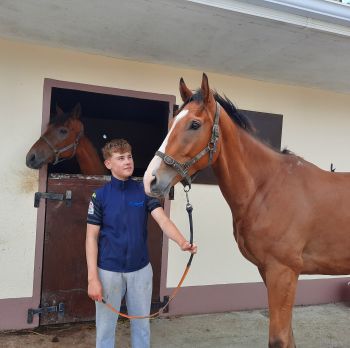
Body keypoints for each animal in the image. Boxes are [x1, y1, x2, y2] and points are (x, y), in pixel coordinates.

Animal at [144, 74, 350, 348]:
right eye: (172, 123)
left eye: (194, 124)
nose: (151, 180)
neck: (267, 187)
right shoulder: (268, 271)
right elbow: (289, 335)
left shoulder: (283, 271)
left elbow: (279, 338)